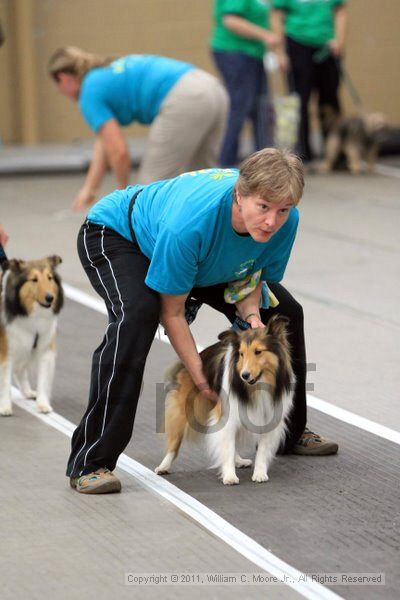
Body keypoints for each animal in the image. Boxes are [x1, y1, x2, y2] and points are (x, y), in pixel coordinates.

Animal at [0, 256, 63, 418]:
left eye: (50, 278)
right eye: (34, 279)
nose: (50, 298)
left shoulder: (45, 350)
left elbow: (43, 381)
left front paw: (43, 405)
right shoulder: (6, 351)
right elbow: (5, 381)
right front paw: (4, 407)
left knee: (20, 370)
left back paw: (28, 392)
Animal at [156, 316, 294, 486]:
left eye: (258, 352)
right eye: (241, 354)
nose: (244, 375)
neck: (257, 387)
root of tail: (200, 355)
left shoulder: (270, 417)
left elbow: (261, 449)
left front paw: (260, 474)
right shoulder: (227, 416)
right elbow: (227, 447)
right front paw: (229, 476)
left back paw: (240, 461)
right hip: (184, 410)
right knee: (175, 440)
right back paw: (163, 466)